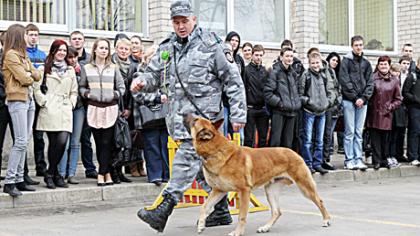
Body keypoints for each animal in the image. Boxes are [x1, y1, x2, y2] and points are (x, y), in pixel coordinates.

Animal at [186, 116, 332, 236]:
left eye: (195, 120)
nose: (185, 114)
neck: (216, 150)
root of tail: (294, 152)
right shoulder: (219, 191)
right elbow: (204, 207)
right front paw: (201, 225)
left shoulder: (244, 191)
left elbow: (241, 215)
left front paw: (237, 232)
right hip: (270, 191)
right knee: (277, 211)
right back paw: (265, 227)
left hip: (304, 186)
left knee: (319, 201)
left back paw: (326, 220)